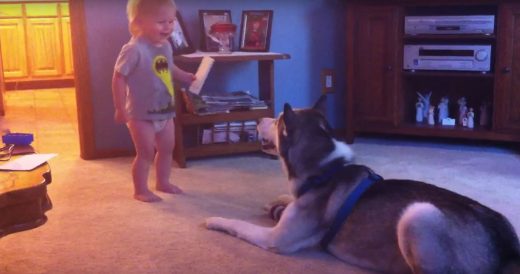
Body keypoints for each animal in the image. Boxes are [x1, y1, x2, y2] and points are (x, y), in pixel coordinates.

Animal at [205, 95, 516, 272]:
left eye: (278, 120)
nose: (258, 119)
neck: (326, 169)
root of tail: (509, 247)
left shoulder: (276, 239)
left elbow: (238, 225)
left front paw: (215, 220)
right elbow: (286, 197)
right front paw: (279, 201)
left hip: (419, 214)